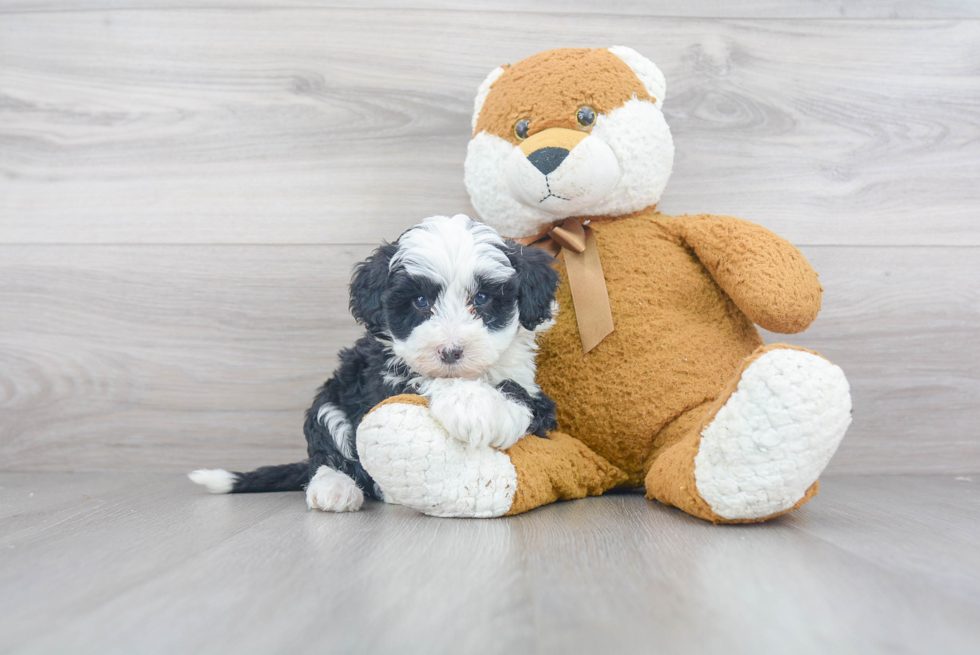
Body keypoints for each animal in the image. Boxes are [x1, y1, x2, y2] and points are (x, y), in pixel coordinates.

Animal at [189, 215, 560, 512]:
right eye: (420, 301)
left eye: (481, 299)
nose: (450, 352)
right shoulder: (379, 377)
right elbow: (418, 379)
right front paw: (468, 403)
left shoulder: (532, 389)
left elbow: (522, 396)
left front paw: (480, 407)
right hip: (329, 402)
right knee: (327, 450)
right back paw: (335, 489)